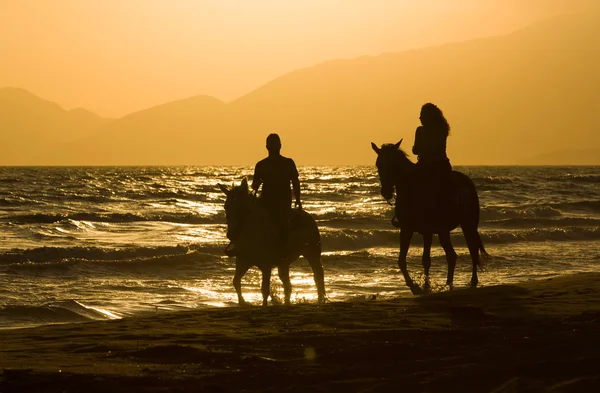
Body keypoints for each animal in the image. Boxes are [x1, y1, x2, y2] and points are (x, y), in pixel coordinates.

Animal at [218, 178, 326, 306]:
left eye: (243, 210)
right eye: (226, 207)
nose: (231, 235)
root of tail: (306, 215)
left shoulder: (266, 265)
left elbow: (264, 289)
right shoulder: (242, 262)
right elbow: (236, 281)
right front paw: (242, 302)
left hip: (312, 254)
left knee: (318, 276)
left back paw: (321, 300)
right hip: (284, 263)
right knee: (287, 285)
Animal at [370, 139, 488, 292]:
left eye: (393, 164)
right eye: (378, 164)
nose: (386, 192)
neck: (412, 188)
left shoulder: (427, 231)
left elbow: (425, 259)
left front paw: (425, 286)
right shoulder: (406, 229)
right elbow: (401, 260)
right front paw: (414, 285)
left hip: (468, 225)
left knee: (472, 249)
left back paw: (472, 281)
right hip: (444, 231)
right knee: (452, 255)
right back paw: (448, 284)